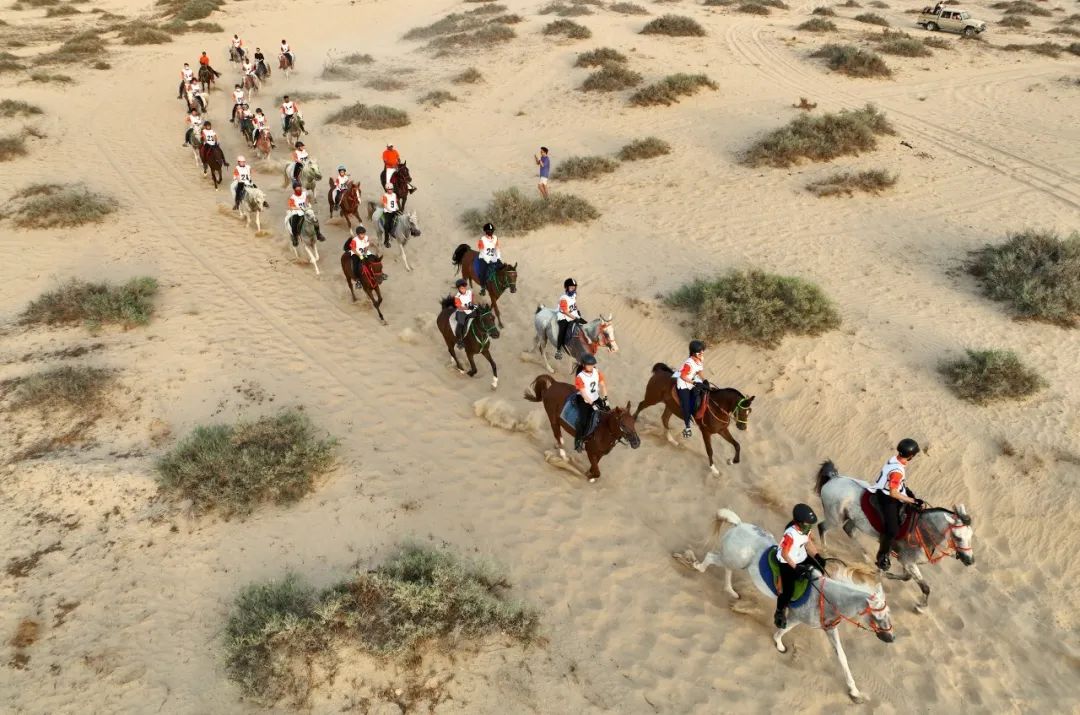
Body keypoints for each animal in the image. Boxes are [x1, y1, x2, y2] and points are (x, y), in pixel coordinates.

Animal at [674, 508, 894, 702]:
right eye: (877, 616)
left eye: (888, 616)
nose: (891, 638)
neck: (827, 596)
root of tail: (739, 525)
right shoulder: (796, 617)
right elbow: (784, 629)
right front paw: (779, 645)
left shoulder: (830, 630)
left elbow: (842, 658)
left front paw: (855, 692)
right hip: (733, 559)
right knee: (712, 558)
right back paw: (698, 567)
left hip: (736, 562)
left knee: (726, 569)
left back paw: (731, 592)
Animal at [814, 460, 975, 613]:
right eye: (957, 536)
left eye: (971, 536)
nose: (970, 560)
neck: (923, 529)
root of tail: (834, 478)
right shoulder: (908, 561)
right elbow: (925, 587)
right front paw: (920, 607)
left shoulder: (906, 562)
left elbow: (906, 577)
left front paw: (882, 573)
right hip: (835, 518)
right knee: (822, 527)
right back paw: (825, 552)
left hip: (854, 520)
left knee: (849, 531)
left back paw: (866, 558)